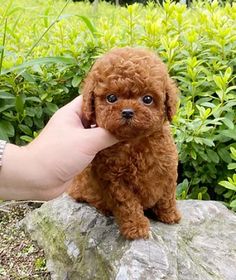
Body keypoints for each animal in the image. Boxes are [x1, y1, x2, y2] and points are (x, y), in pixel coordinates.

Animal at [68, 47, 181, 240]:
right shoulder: (114, 180)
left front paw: (170, 214)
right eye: (111, 98)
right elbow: (128, 204)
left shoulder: (167, 169)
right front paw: (136, 227)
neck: (135, 143)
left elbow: (167, 195)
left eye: (147, 99)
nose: (127, 112)